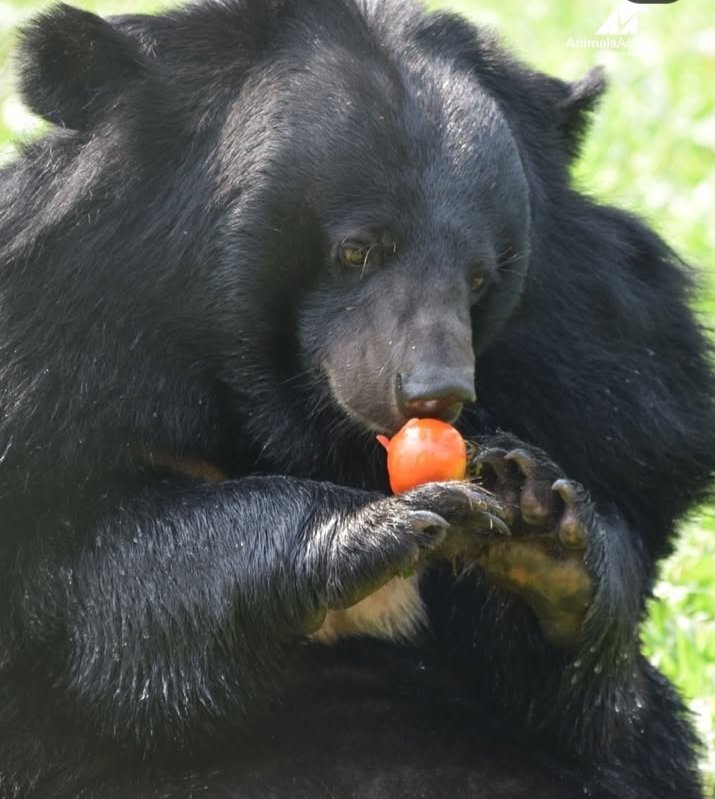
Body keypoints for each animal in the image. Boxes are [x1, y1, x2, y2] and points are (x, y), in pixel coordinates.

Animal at [0, 0, 713, 797]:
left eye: (480, 275)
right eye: (356, 250)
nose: (436, 391)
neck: (300, 424)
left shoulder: (608, 371)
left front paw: (539, 525)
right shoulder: (60, 373)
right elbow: (110, 575)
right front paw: (382, 524)